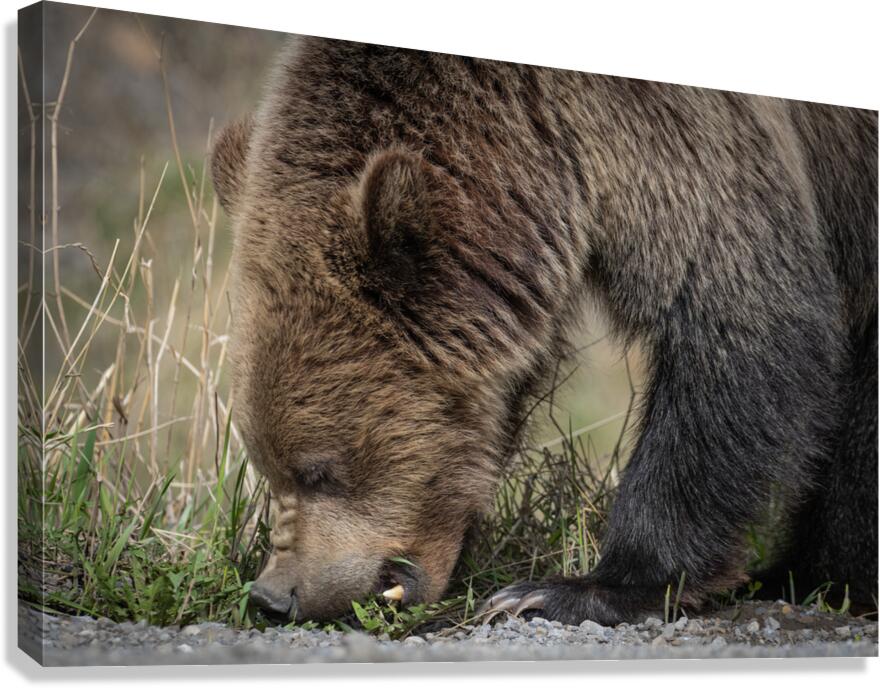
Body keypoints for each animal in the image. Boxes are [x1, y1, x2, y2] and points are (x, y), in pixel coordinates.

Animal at [210, 36, 878, 625]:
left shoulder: (676, 133)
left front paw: (577, 589)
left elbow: (742, 316)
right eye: (266, 463)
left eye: (319, 468)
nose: (273, 596)